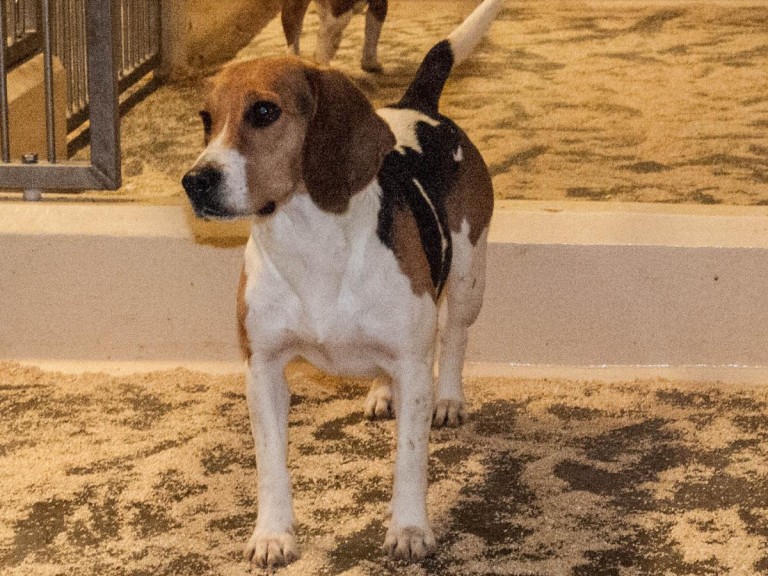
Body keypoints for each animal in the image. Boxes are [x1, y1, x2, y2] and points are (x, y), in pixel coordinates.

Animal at [181, 0, 504, 568]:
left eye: (263, 112)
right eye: (206, 120)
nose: (194, 181)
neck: (309, 242)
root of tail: (417, 105)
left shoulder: (414, 363)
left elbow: (410, 459)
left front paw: (409, 528)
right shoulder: (263, 369)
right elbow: (271, 464)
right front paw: (273, 534)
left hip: (468, 278)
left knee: (455, 338)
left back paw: (448, 398)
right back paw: (381, 392)